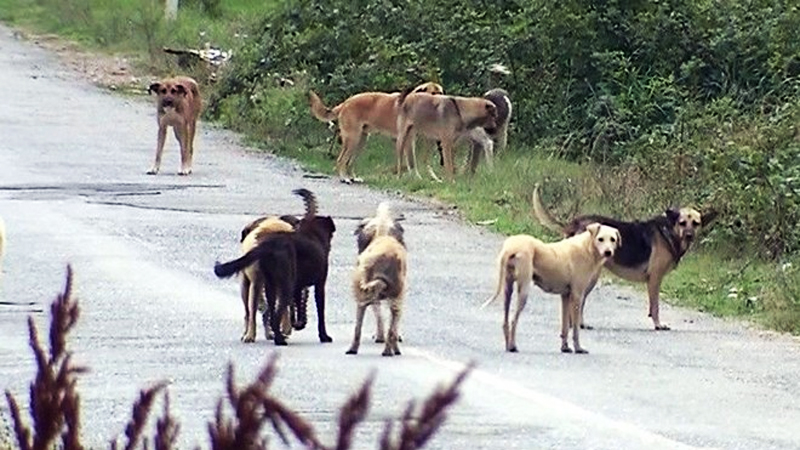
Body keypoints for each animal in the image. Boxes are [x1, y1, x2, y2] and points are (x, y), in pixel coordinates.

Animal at [212, 188, 334, 346]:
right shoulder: (318, 284)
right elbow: (319, 311)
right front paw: (323, 336)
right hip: (272, 285)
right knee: (261, 311)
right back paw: (271, 336)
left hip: (260, 284)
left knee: (263, 311)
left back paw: (271, 333)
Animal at [308, 81, 444, 184]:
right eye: (433, 93)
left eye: (441, 93)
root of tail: (345, 103)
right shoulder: (407, 140)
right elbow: (411, 162)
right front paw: (416, 178)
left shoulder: (411, 140)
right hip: (353, 139)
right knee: (341, 160)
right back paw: (344, 178)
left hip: (361, 141)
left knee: (350, 162)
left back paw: (353, 178)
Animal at [478, 223, 620, 354]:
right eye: (600, 239)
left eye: (612, 239)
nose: (608, 252)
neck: (587, 247)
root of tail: (511, 247)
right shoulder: (577, 297)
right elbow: (575, 328)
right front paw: (578, 348)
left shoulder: (565, 297)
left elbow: (564, 327)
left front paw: (565, 347)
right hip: (523, 291)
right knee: (514, 320)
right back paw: (513, 346)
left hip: (508, 289)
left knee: (506, 321)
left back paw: (508, 345)